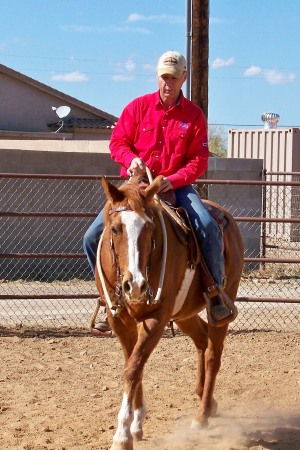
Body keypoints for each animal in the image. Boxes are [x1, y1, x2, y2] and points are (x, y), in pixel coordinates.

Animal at [94, 175, 244, 450]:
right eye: (115, 229)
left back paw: (202, 415)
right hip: (184, 313)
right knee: (202, 340)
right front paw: (136, 423)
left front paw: (122, 435)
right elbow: (133, 364)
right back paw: (207, 399)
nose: (136, 285)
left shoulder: (157, 318)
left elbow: (133, 368)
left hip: (223, 302)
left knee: (213, 354)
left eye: (149, 228)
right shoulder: (119, 321)